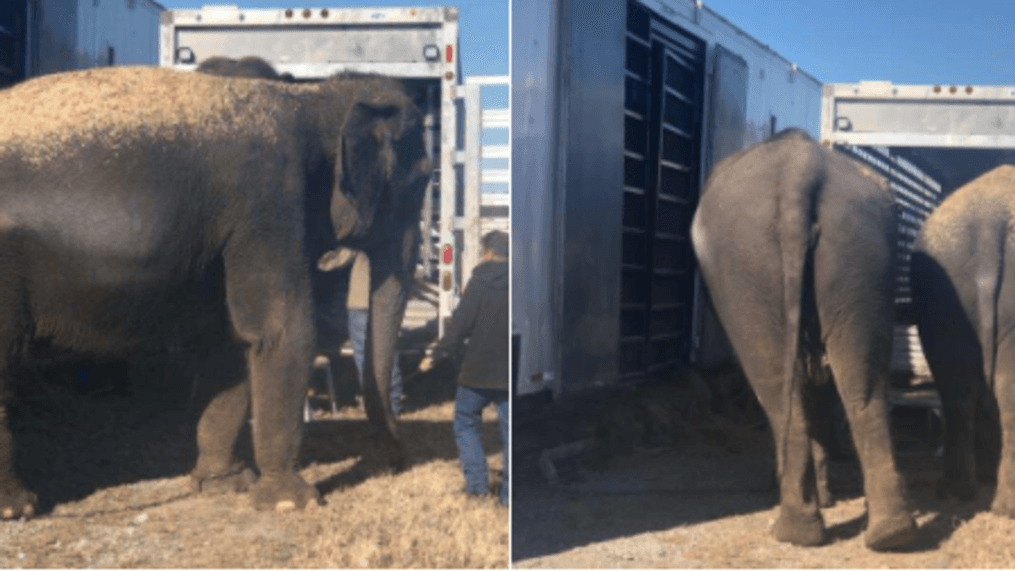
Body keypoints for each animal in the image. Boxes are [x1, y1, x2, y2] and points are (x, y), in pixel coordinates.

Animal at [0, 64, 432, 519]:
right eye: (421, 179)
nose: (396, 464)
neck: (309, 100)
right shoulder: (267, 206)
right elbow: (282, 328)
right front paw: (291, 501)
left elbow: (230, 337)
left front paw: (224, 485)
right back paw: (18, 508)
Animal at [694, 128, 917, 547]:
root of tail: (801, 172)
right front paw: (828, 496)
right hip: (861, 251)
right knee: (864, 388)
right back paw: (891, 534)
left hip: (744, 268)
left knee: (774, 386)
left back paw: (793, 531)